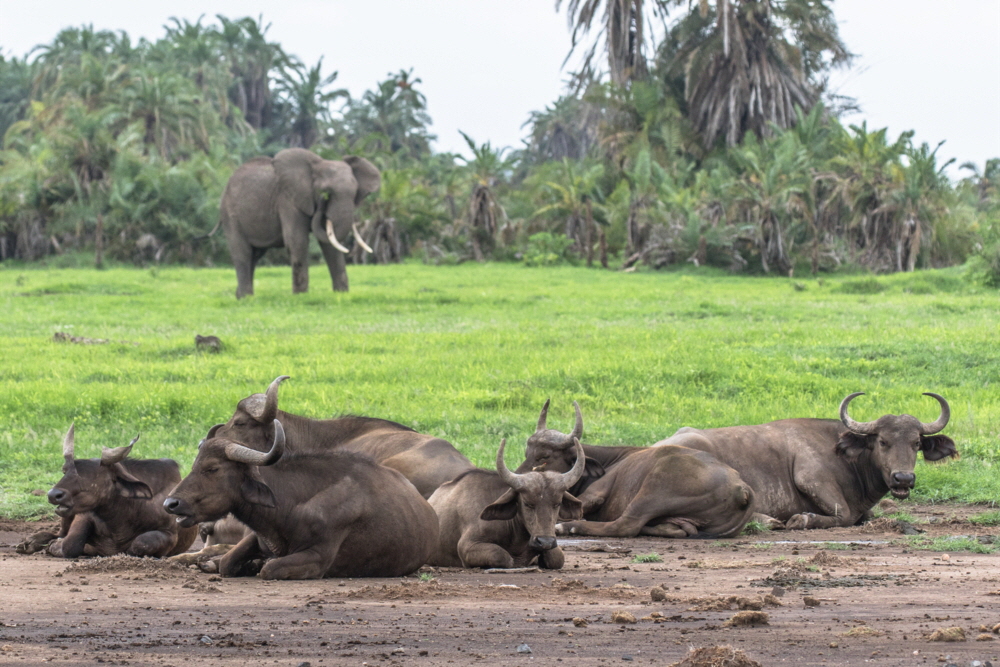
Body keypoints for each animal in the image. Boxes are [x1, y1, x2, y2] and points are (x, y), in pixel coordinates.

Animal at [211, 148, 380, 298]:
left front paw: (341, 295)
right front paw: (300, 297)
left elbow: (329, 244)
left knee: (255, 255)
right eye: (325, 192)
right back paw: (246, 298)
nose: (321, 203)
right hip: (230, 215)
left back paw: (241, 296)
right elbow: (297, 240)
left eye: (355, 193)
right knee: (243, 253)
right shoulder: (288, 198)